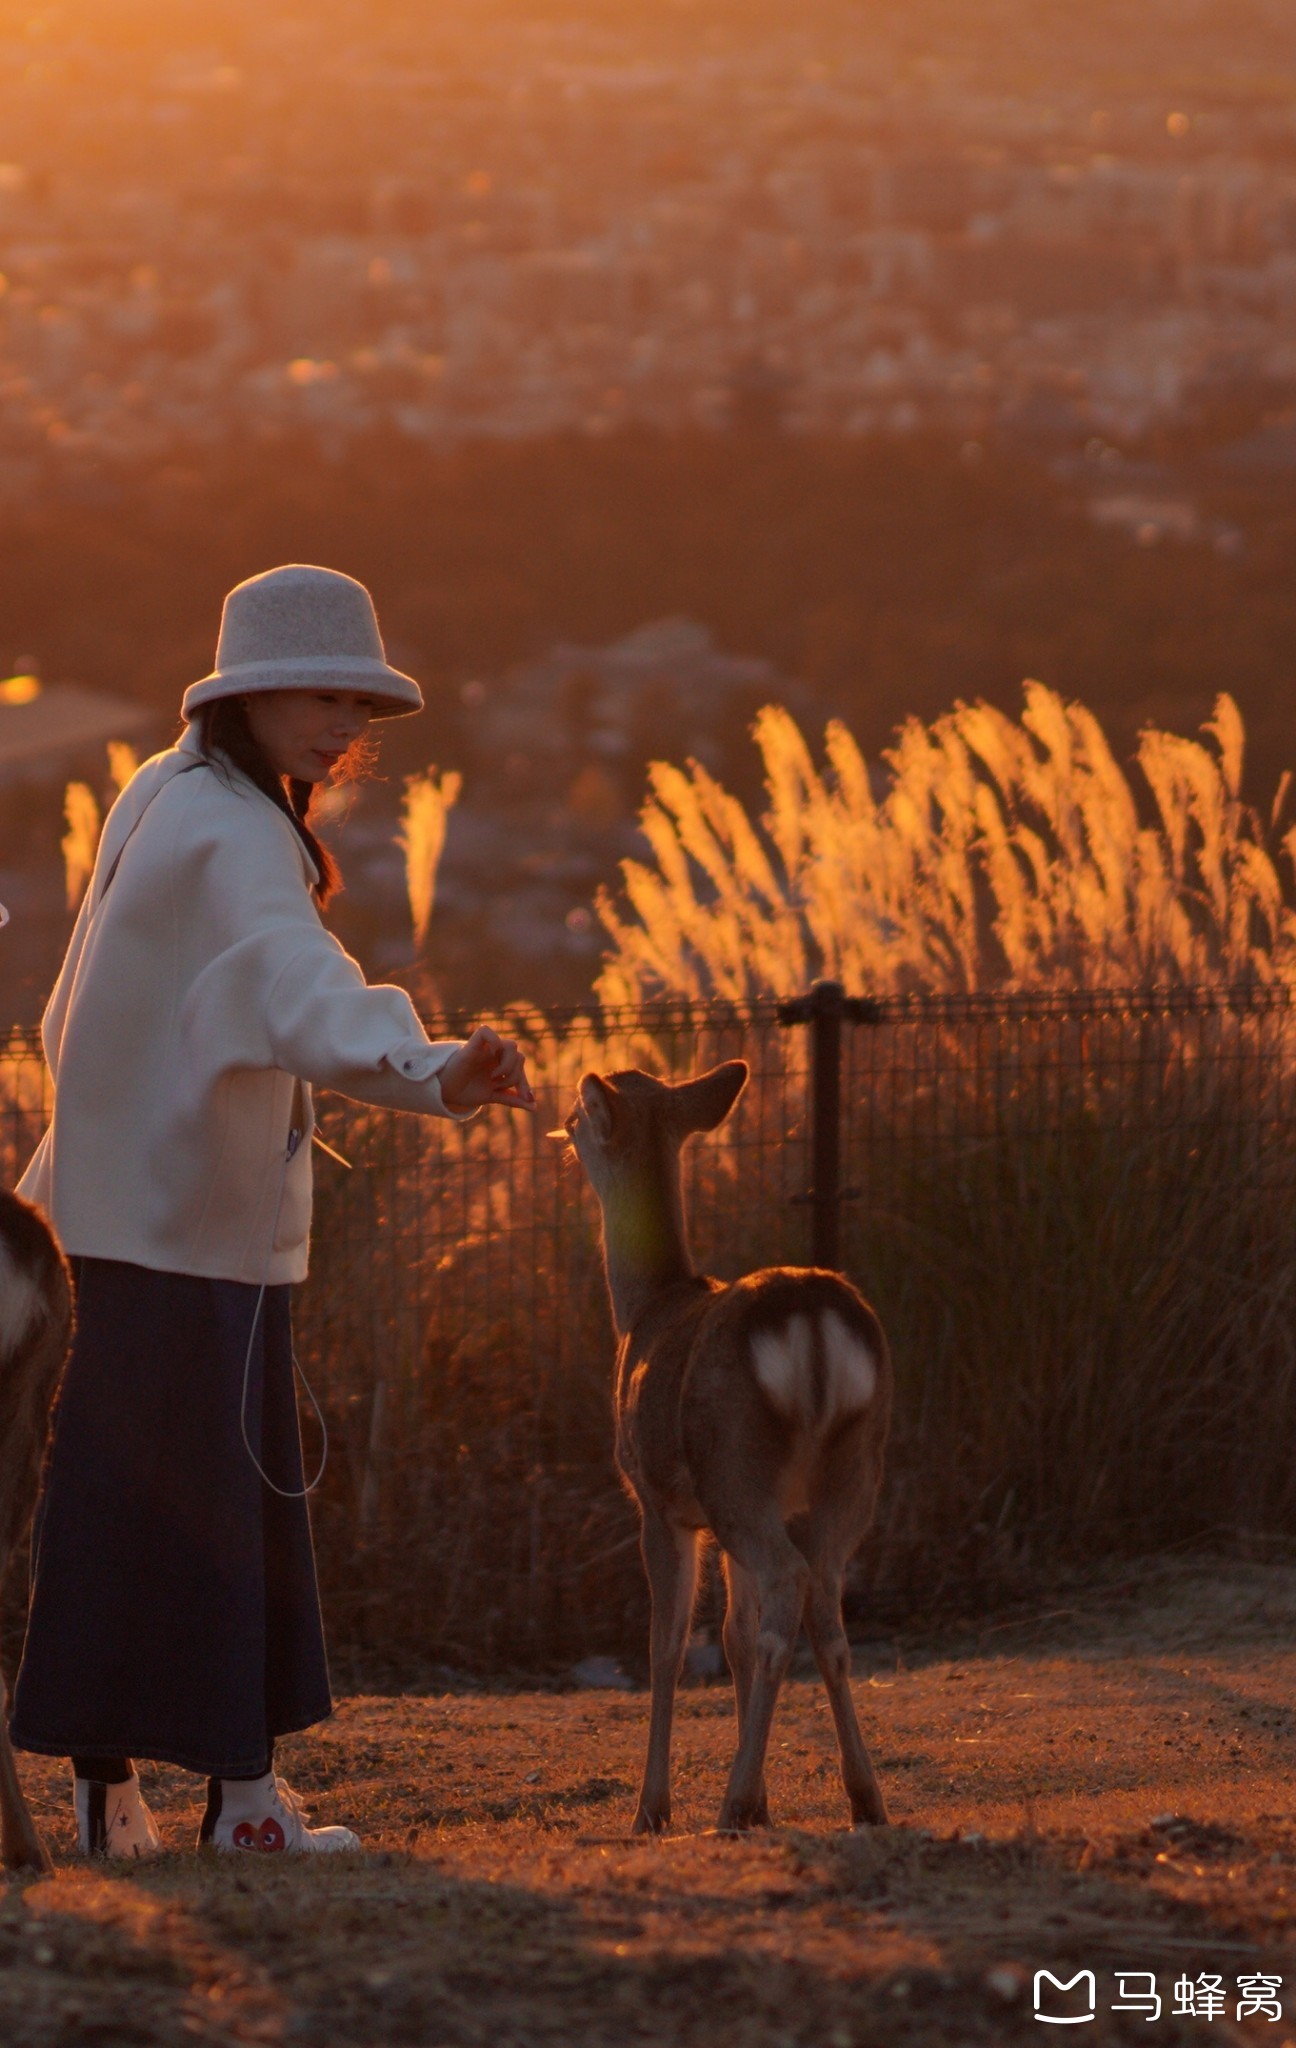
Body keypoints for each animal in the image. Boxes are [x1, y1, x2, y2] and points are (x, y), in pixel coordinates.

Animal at [556, 1064, 888, 1835]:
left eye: (582, 1118)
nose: (560, 1123)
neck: (644, 1310)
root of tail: (812, 1324)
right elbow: (732, 1639)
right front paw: (764, 1798)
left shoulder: (657, 1501)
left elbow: (668, 1646)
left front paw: (652, 1808)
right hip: (849, 1464)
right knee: (823, 1602)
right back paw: (861, 1797)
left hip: (732, 1463)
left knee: (788, 1586)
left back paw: (730, 1804)